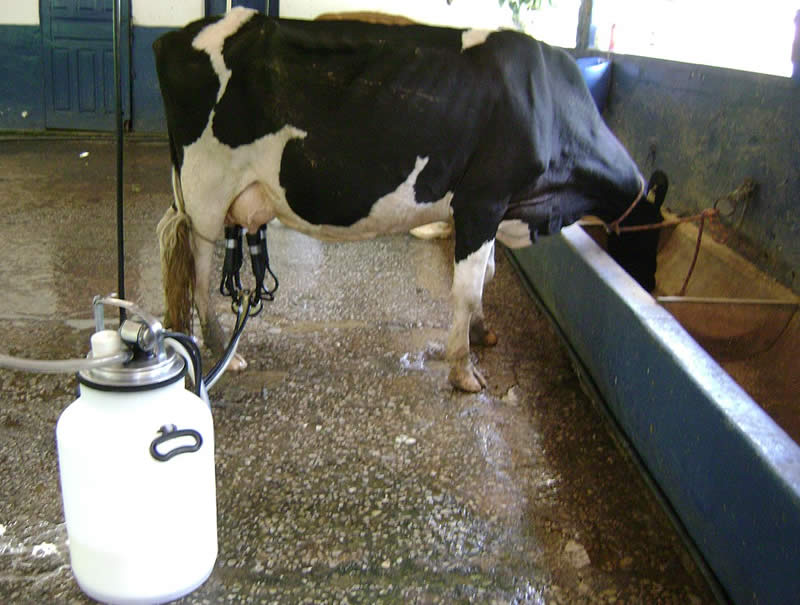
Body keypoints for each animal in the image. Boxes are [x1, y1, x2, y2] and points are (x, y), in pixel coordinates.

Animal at [153, 8, 664, 392]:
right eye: (651, 238)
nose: (652, 285)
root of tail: (175, 37)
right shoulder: (481, 202)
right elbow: (466, 288)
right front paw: (464, 370)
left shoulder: (498, 210)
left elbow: (488, 276)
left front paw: (483, 332)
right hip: (204, 190)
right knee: (199, 275)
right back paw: (223, 350)